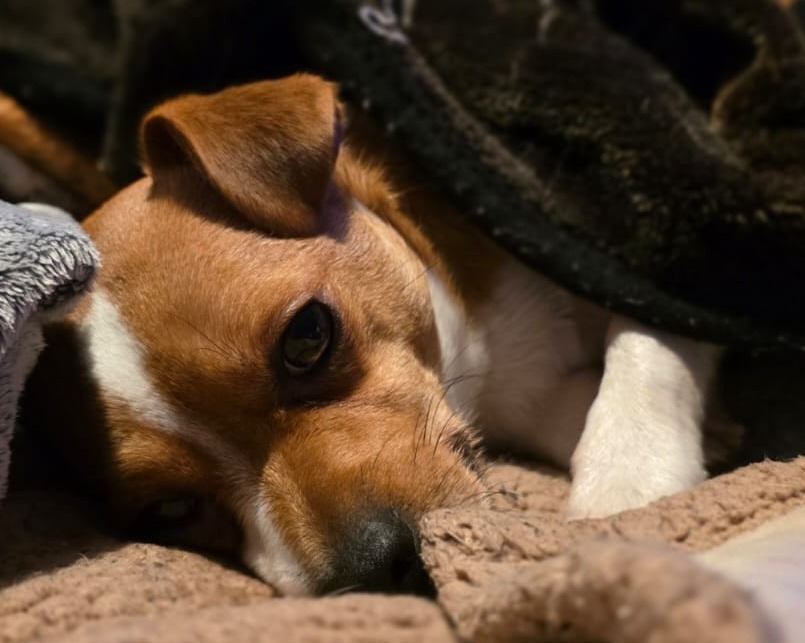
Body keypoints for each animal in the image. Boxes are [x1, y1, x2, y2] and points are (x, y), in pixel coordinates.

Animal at [23, 74, 722, 597]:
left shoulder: (645, 273)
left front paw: (627, 482)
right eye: (169, 509)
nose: (379, 567)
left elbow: (649, 334)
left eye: (308, 336)